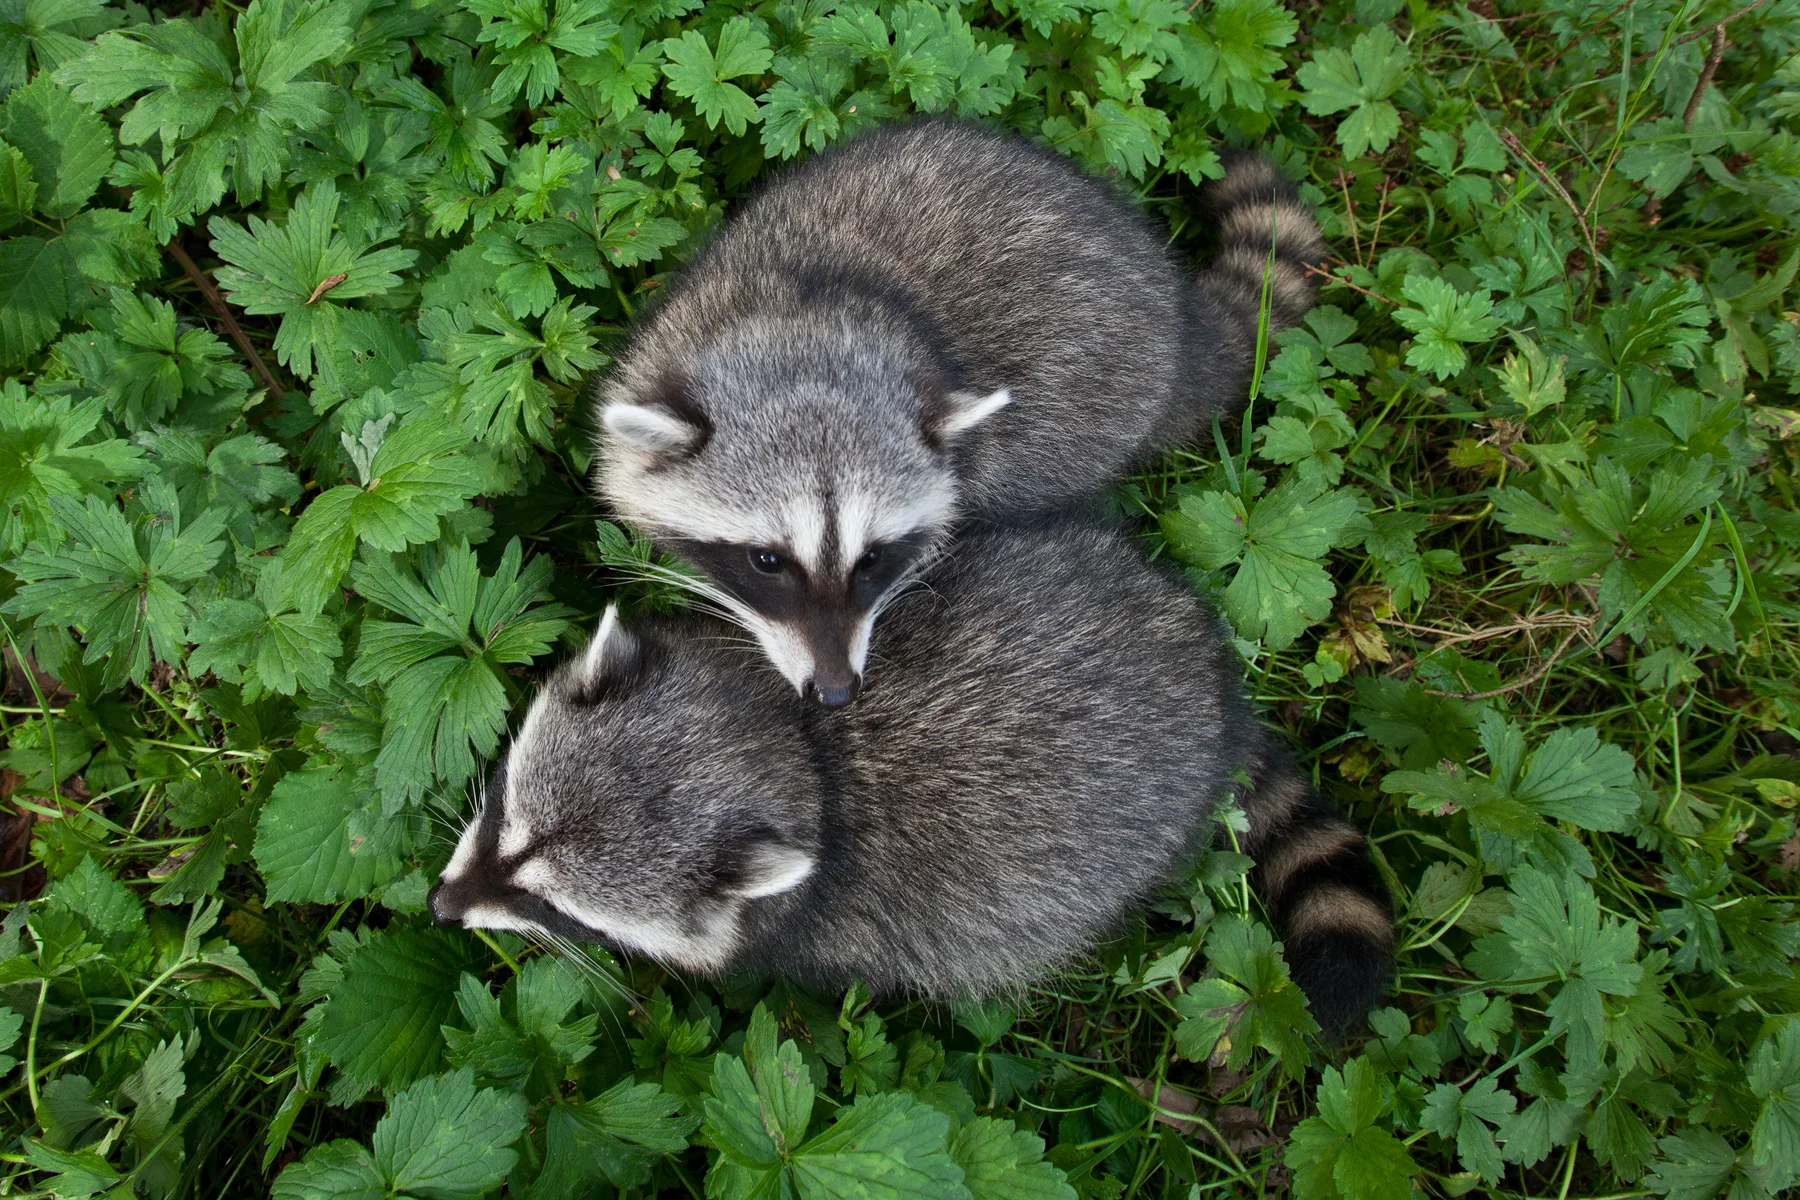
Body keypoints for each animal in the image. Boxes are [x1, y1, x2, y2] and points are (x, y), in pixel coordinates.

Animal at [429, 518, 1390, 1033]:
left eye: (555, 906)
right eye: (503, 810)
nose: (441, 907)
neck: (797, 751)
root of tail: (1213, 679)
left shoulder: (813, 933)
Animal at [594, 120, 1324, 707]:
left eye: (872, 559)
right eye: (767, 561)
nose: (835, 692)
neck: (803, 327)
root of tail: (1178, 314)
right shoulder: (677, 324)